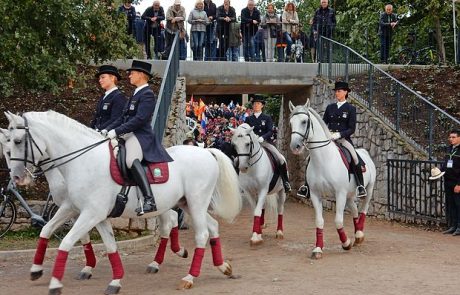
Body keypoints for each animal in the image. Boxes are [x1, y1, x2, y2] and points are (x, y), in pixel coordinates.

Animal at [5, 111, 243, 294]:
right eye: (6, 147)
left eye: (17, 142)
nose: (16, 178)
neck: (84, 161)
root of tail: (206, 152)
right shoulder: (81, 210)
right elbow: (57, 232)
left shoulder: (90, 213)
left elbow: (66, 242)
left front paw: (55, 283)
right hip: (187, 204)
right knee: (210, 226)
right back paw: (222, 266)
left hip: (196, 202)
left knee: (199, 233)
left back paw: (189, 277)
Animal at [290, 101, 376, 260]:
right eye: (291, 123)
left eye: (304, 121)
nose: (295, 147)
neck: (323, 159)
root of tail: (364, 152)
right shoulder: (315, 194)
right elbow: (319, 221)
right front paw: (318, 248)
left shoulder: (339, 193)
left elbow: (338, 221)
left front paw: (346, 243)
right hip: (349, 195)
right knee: (355, 210)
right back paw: (357, 236)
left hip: (368, 189)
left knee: (364, 209)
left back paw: (359, 234)